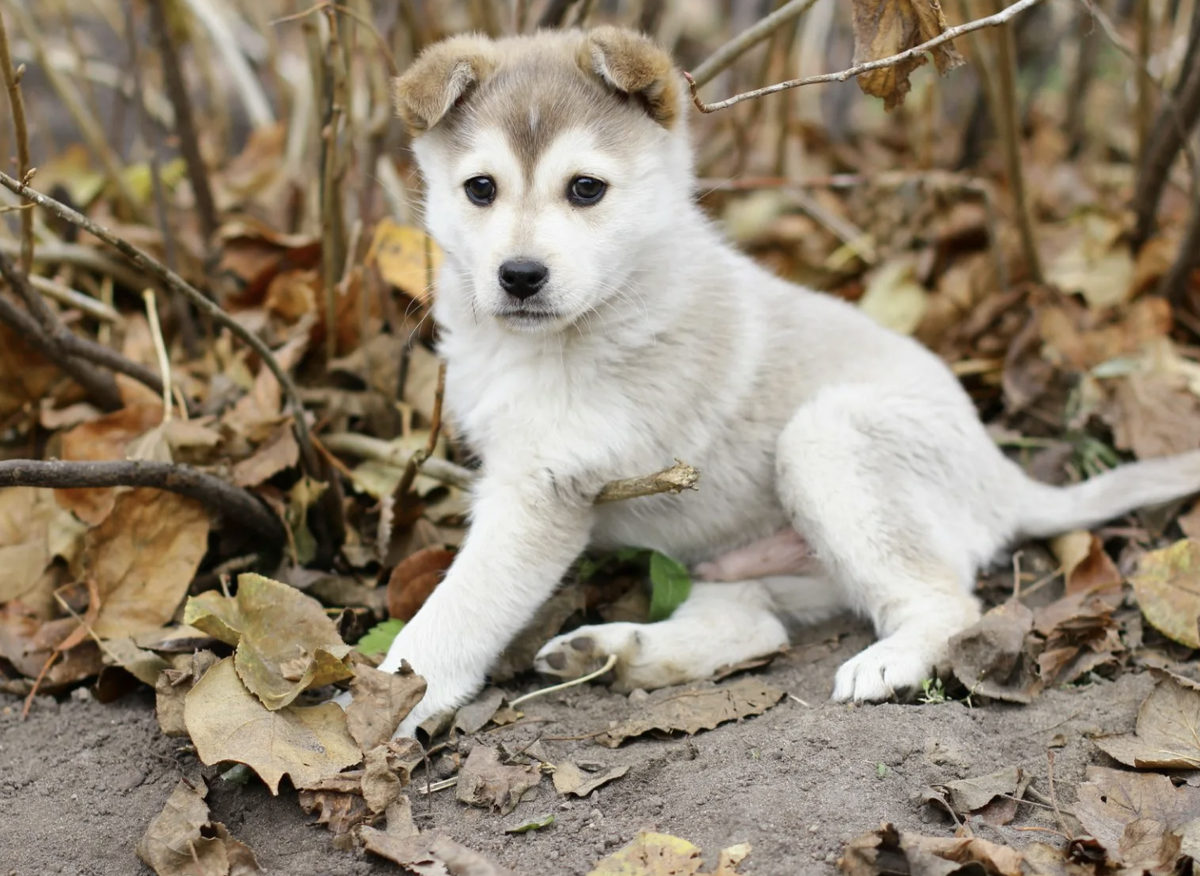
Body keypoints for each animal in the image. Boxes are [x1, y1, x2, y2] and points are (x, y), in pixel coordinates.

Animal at [379, 27, 1200, 734]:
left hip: (825, 439)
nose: (519, 276)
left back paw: (889, 664)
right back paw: (616, 652)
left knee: (946, 603)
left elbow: (455, 613)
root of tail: (1004, 476)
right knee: (754, 627)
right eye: (480, 189)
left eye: (585, 189)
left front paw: (392, 703)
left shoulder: (541, 491)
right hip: (739, 560)